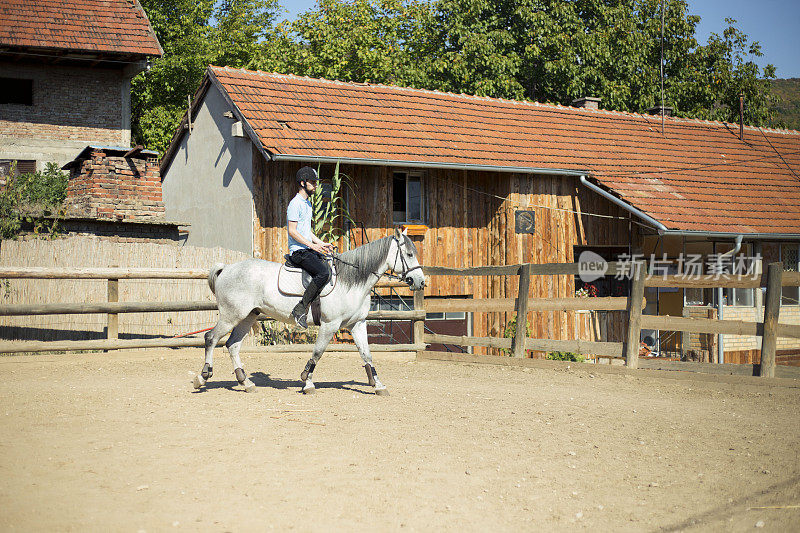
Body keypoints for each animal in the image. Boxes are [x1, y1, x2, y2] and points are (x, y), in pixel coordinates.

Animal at [193, 229, 424, 394]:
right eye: (409, 254)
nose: (421, 282)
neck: (351, 282)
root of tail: (227, 268)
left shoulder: (357, 324)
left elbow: (366, 355)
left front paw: (378, 384)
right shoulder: (330, 324)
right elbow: (318, 352)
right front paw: (308, 382)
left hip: (247, 316)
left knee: (232, 345)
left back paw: (245, 382)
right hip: (231, 316)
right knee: (211, 338)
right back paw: (203, 376)